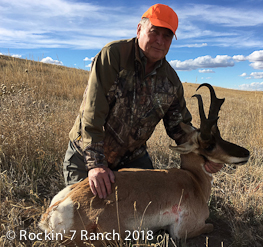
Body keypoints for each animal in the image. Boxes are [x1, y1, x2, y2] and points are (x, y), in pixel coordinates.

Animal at [38, 84, 250, 246]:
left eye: (219, 135)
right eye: (209, 145)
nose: (246, 153)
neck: (193, 180)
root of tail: (55, 210)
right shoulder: (184, 231)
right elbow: (210, 225)